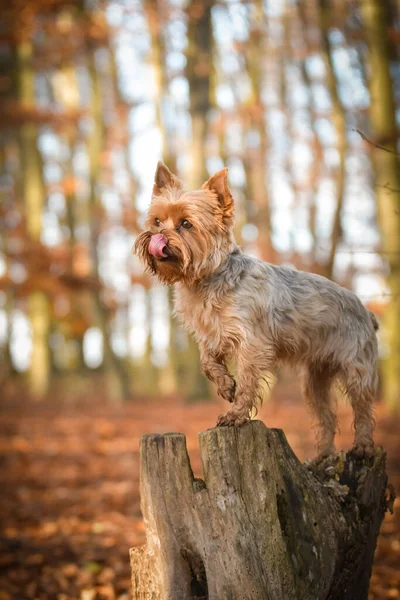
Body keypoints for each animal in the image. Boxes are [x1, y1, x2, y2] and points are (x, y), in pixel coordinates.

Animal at [134, 162, 378, 458]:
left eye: (186, 224)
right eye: (157, 221)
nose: (156, 237)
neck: (206, 280)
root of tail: (366, 311)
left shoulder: (252, 343)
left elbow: (248, 380)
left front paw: (236, 413)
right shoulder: (210, 334)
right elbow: (207, 362)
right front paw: (226, 386)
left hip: (356, 367)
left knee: (362, 408)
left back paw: (363, 446)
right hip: (315, 378)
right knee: (325, 415)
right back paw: (324, 456)